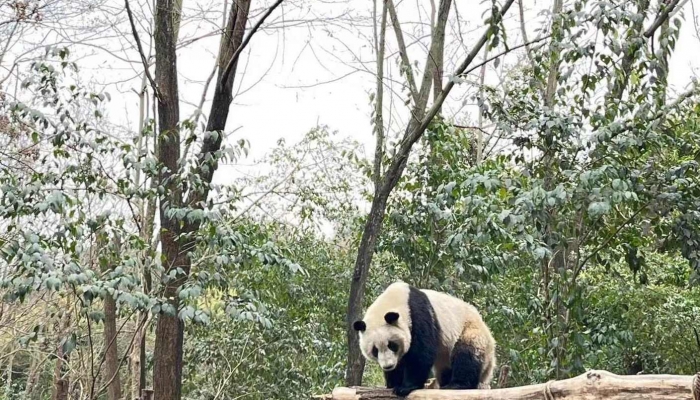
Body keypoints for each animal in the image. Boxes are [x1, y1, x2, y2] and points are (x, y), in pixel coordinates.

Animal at [352, 282, 494, 396]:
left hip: (469, 330)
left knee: (467, 354)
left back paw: (457, 385)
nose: (388, 366)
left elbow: (421, 352)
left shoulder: (419, 314)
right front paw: (393, 382)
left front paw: (405, 387)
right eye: (375, 350)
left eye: (392, 345)